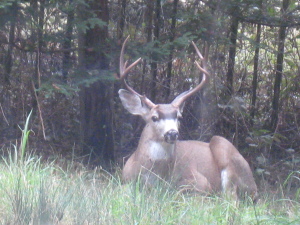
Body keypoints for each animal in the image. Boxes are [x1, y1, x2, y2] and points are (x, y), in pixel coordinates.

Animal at [118, 37, 256, 200]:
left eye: (178, 116)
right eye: (154, 117)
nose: (172, 133)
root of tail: (254, 185)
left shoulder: (200, 181)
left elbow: (183, 192)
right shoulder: (125, 179)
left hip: (223, 145)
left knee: (231, 198)